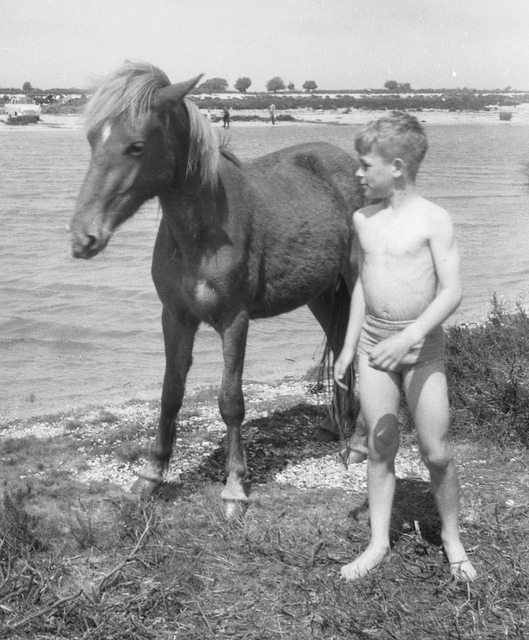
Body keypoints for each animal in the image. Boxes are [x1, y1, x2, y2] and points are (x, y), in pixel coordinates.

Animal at [70, 61, 366, 518]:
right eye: (91, 139)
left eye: (136, 146)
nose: (83, 237)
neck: (201, 234)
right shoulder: (175, 318)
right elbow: (170, 393)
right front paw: (151, 476)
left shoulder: (234, 321)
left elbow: (231, 402)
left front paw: (235, 487)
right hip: (321, 295)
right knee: (341, 348)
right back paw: (338, 427)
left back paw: (358, 445)